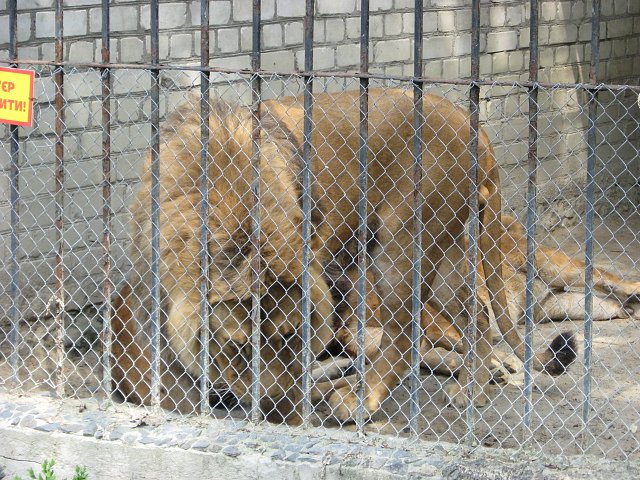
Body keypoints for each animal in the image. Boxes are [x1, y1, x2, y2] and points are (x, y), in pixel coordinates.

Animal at [125, 88, 576, 423]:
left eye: (291, 335)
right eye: (238, 346)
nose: (273, 408)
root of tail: (471, 125)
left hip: (402, 242)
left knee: (404, 333)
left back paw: (361, 401)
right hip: (446, 250)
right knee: (476, 313)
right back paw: (473, 390)